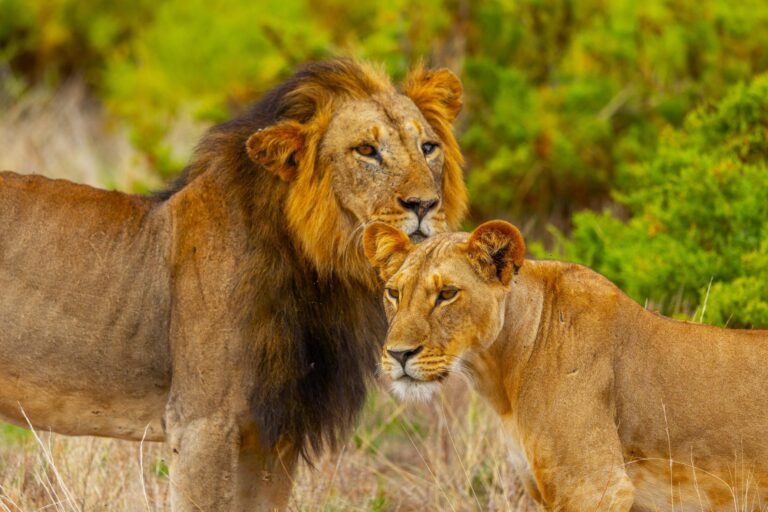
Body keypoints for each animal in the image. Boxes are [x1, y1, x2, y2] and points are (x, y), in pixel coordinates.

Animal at [0, 59, 467, 511]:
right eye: (367, 151)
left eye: (428, 148)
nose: (425, 204)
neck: (320, 271)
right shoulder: (200, 423)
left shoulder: (273, 436)